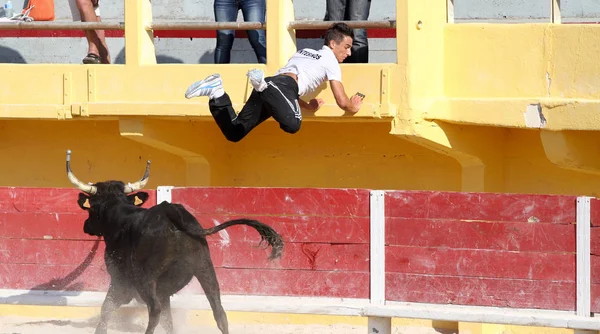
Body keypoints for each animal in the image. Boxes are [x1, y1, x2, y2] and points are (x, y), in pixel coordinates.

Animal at [64, 151, 284, 334]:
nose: (86, 226)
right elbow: (168, 321)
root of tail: (172, 212)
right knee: (219, 311)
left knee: (154, 310)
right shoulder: (163, 290)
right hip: (205, 268)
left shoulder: (120, 281)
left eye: (91, 208)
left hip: (146, 278)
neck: (121, 216)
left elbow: (106, 308)